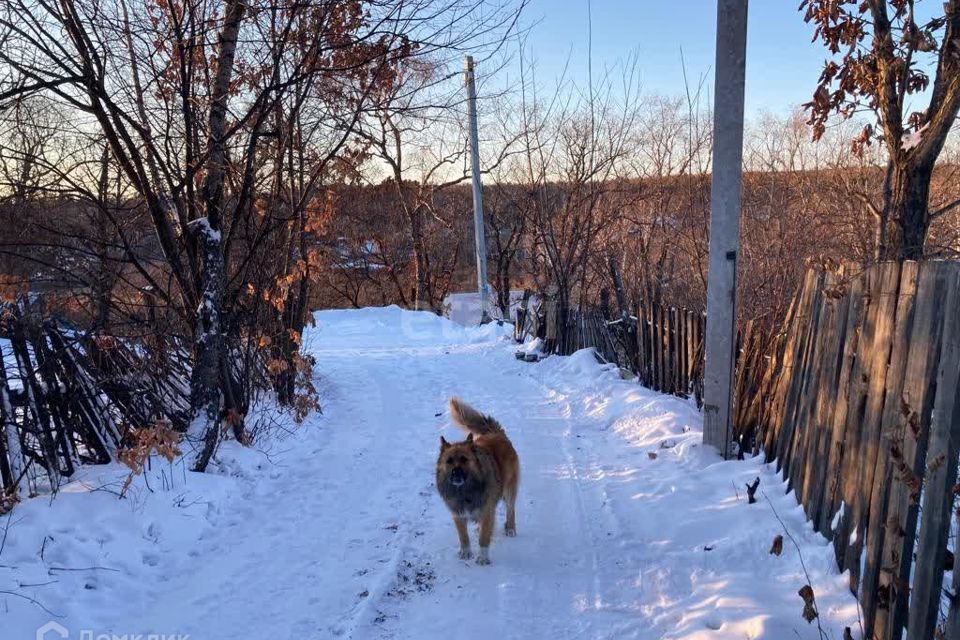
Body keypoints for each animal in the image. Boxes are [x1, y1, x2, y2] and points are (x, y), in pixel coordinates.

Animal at [436, 398, 520, 568]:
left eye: (464, 459)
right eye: (449, 461)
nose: (455, 473)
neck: (464, 490)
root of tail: (495, 433)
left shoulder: (487, 511)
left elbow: (484, 538)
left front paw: (482, 558)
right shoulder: (458, 513)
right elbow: (463, 536)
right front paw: (466, 552)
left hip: (509, 490)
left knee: (510, 509)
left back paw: (510, 528)